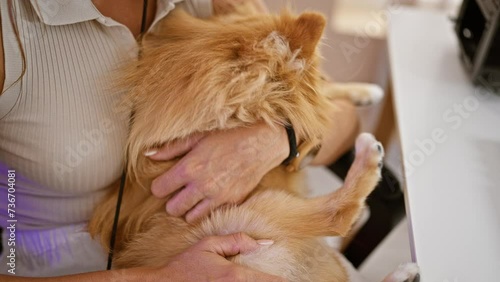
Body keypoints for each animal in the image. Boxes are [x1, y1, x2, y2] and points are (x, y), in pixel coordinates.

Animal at [89, 4, 418, 282]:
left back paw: (403, 272)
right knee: (339, 214)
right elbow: (320, 109)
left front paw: (365, 91)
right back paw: (368, 155)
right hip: (255, 211)